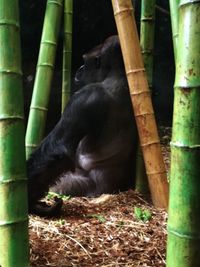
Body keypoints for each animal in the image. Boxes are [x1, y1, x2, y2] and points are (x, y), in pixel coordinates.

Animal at [27, 35, 138, 217]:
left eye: (85, 61)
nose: (79, 69)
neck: (118, 75)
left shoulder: (84, 98)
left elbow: (58, 150)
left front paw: (28, 200)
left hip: (86, 189)